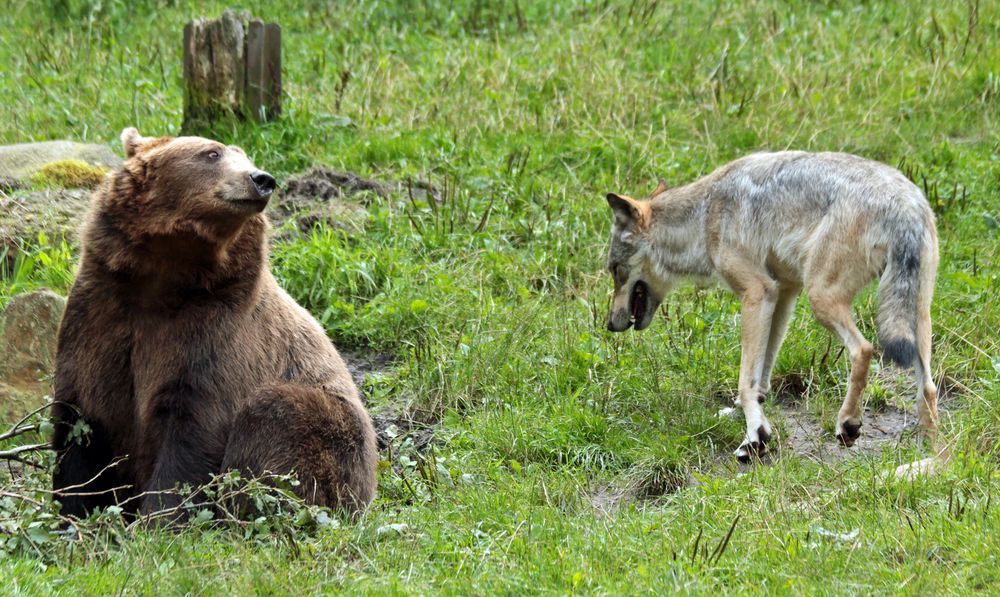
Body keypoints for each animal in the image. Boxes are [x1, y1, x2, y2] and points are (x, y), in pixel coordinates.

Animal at [51, 127, 378, 516]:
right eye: (212, 153)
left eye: (246, 156)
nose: (262, 179)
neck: (167, 271)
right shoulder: (101, 313)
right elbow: (80, 421)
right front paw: (73, 511)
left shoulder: (215, 330)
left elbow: (193, 429)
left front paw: (160, 517)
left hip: (337, 438)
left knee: (278, 417)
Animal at [604, 151, 940, 472]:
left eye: (615, 271)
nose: (609, 324)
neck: (704, 215)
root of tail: (905, 205)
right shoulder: (783, 294)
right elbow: (760, 375)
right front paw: (745, 417)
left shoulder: (757, 292)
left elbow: (745, 380)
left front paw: (755, 438)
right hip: (916, 317)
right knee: (929, 388)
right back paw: (929, 457)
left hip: (822, 300)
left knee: (865, 349)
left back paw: (848, 424)